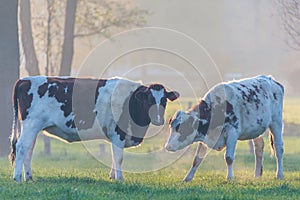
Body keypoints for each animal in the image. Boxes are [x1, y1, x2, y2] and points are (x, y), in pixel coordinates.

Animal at [8, 76, 178, 182]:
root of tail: (25, 79)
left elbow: (113, 157)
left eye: (164, 100)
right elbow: (118, 157)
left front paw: (113, 177)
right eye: (149, 100)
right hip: (31, 124)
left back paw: (28, 177)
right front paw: (120, 179)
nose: (158, 119)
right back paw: (17, 177)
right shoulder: (118, 134)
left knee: (28, 149)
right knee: (21, 147)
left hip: (33, 127)